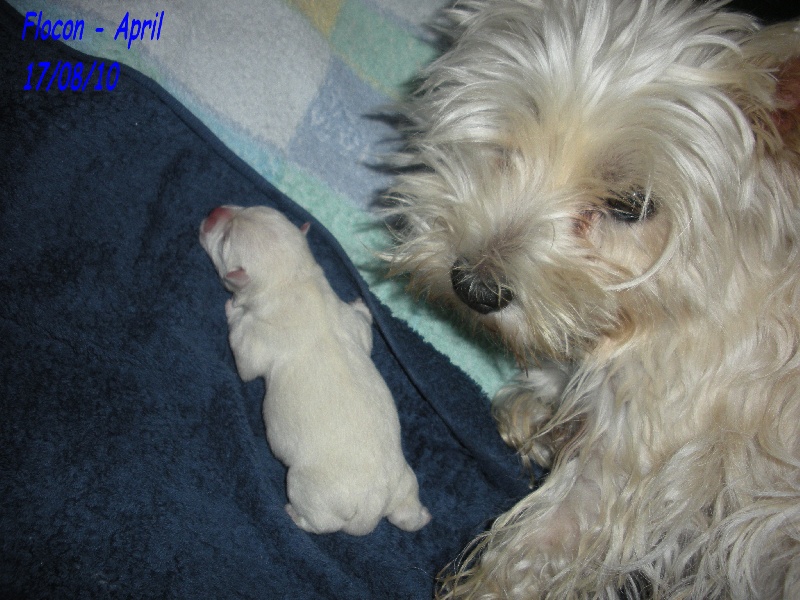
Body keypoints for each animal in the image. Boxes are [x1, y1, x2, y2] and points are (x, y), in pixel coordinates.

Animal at [200, 205, 432, 536]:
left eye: (224, 242)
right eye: (246, 207)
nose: (216, 210)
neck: (293, 278)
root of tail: (372, 506)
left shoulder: (258, 337)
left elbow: (244, 363)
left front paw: (232, 309)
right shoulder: (349, 321)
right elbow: (363, 329)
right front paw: (362, 304)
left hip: (308, 489)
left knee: (320, 522)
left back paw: (295, 516)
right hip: (404, 481)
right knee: (406, 512)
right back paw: (421, 516)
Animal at [384, 0, 796, 596]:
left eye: (631, 205)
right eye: (508, 145)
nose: (473, 287)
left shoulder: (635, 462)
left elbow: (534, 549)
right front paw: (543, 409)